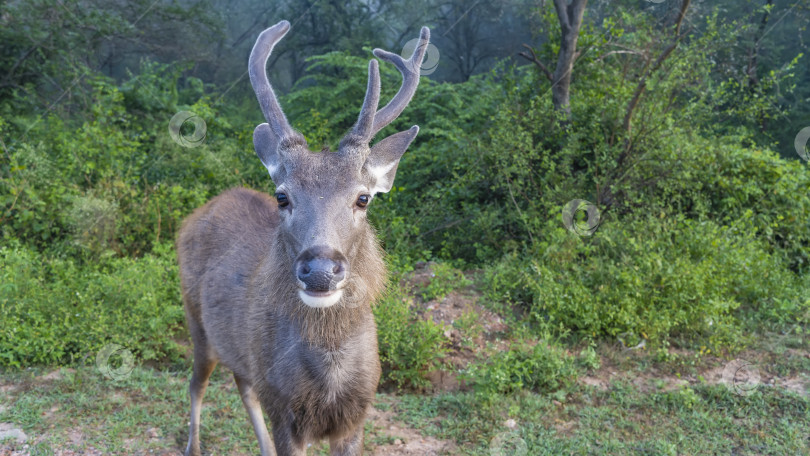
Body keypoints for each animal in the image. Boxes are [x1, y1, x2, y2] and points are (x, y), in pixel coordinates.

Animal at [177, 19, 430, 454]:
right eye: (282, 196)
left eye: (363, 198)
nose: (321, 270)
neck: (329, 377)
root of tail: (197, 214)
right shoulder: (285, 411)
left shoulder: (356, 415)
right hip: (196, 319)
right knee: (197, 384)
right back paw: (194, 445)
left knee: (243, 385)